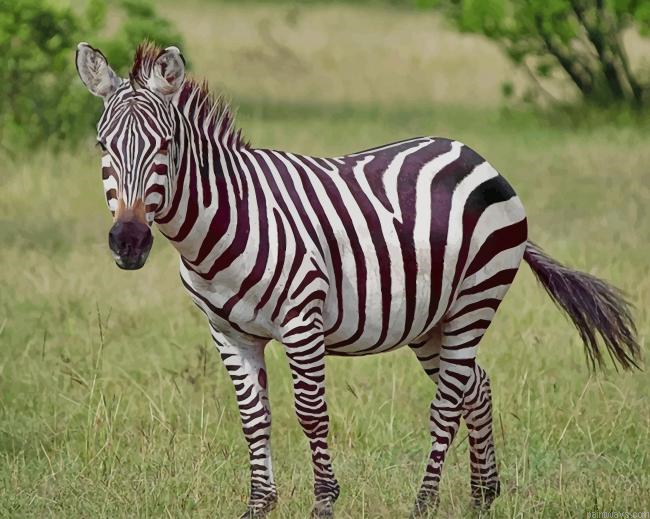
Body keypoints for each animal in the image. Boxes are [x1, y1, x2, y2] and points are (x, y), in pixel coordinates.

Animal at [76, 42, 641, 518]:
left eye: (166, 145)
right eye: (102, 146)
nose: (129, 241)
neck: (223, 222)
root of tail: (474, 154)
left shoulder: (302, 322)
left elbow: (311, 414)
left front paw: (324, 502)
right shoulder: (229, 334)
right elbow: (253, 417)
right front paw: (258, 505)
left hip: (474, 301)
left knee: (448, 403)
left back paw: (424, 503)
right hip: (429, 320)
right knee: (475, 386)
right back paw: (483, 496)